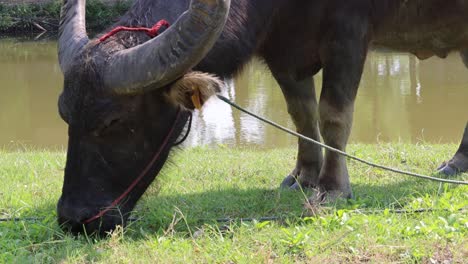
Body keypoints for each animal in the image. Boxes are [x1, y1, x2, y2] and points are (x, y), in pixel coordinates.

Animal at [57, 0, 468, 235]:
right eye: (65, 114)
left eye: (112, 120)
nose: (74, 219)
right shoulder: (279, 48)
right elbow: (302, 114)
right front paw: (303, 176)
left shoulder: (348, 34)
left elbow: (333, 114)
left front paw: (332, 187)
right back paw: (457, 162)